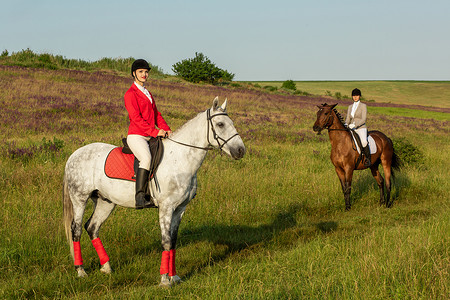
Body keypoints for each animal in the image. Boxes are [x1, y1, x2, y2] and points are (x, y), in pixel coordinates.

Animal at [62, 98, 246, 286]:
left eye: (232, 123)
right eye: (221, 124)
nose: (240, 150)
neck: (180, 159)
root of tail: (74, 154)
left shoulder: (180, 209)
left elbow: (173, 242)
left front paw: (174, 277)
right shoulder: (166, 208)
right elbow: (166, 242)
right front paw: (164, 280)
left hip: (105, 202)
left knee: (92, 227)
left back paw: (106, 267)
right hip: (79, 199)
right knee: (76, 230)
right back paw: (81, 271)